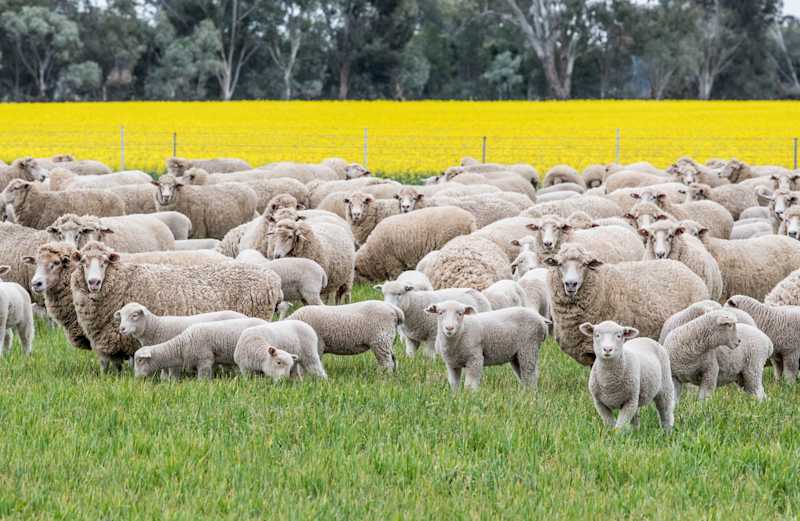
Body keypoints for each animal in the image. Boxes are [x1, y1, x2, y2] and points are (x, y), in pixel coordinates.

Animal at [70, 241, 282, 371]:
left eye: (105, 262)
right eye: (83, 262)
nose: (94, 282)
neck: (123, 280)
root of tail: (272, 277)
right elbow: (108, 366)